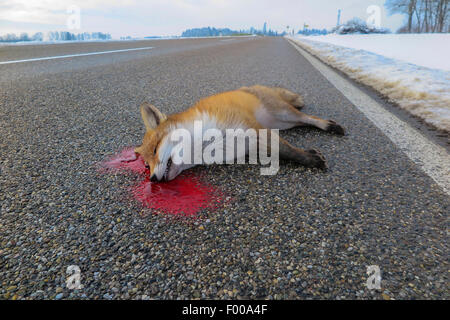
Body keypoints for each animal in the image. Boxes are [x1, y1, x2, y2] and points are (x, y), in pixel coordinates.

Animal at [134, 85, 344, 181]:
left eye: (155, 150)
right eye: (146, 165)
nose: (153, 180)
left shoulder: (254, 130)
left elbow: (288, 151)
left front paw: (311, 160)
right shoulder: (250, 145)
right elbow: (282, 151)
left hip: (283, 114)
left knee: (308, 117)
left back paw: (329, 126)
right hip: (283, 123)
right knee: (302, 121)